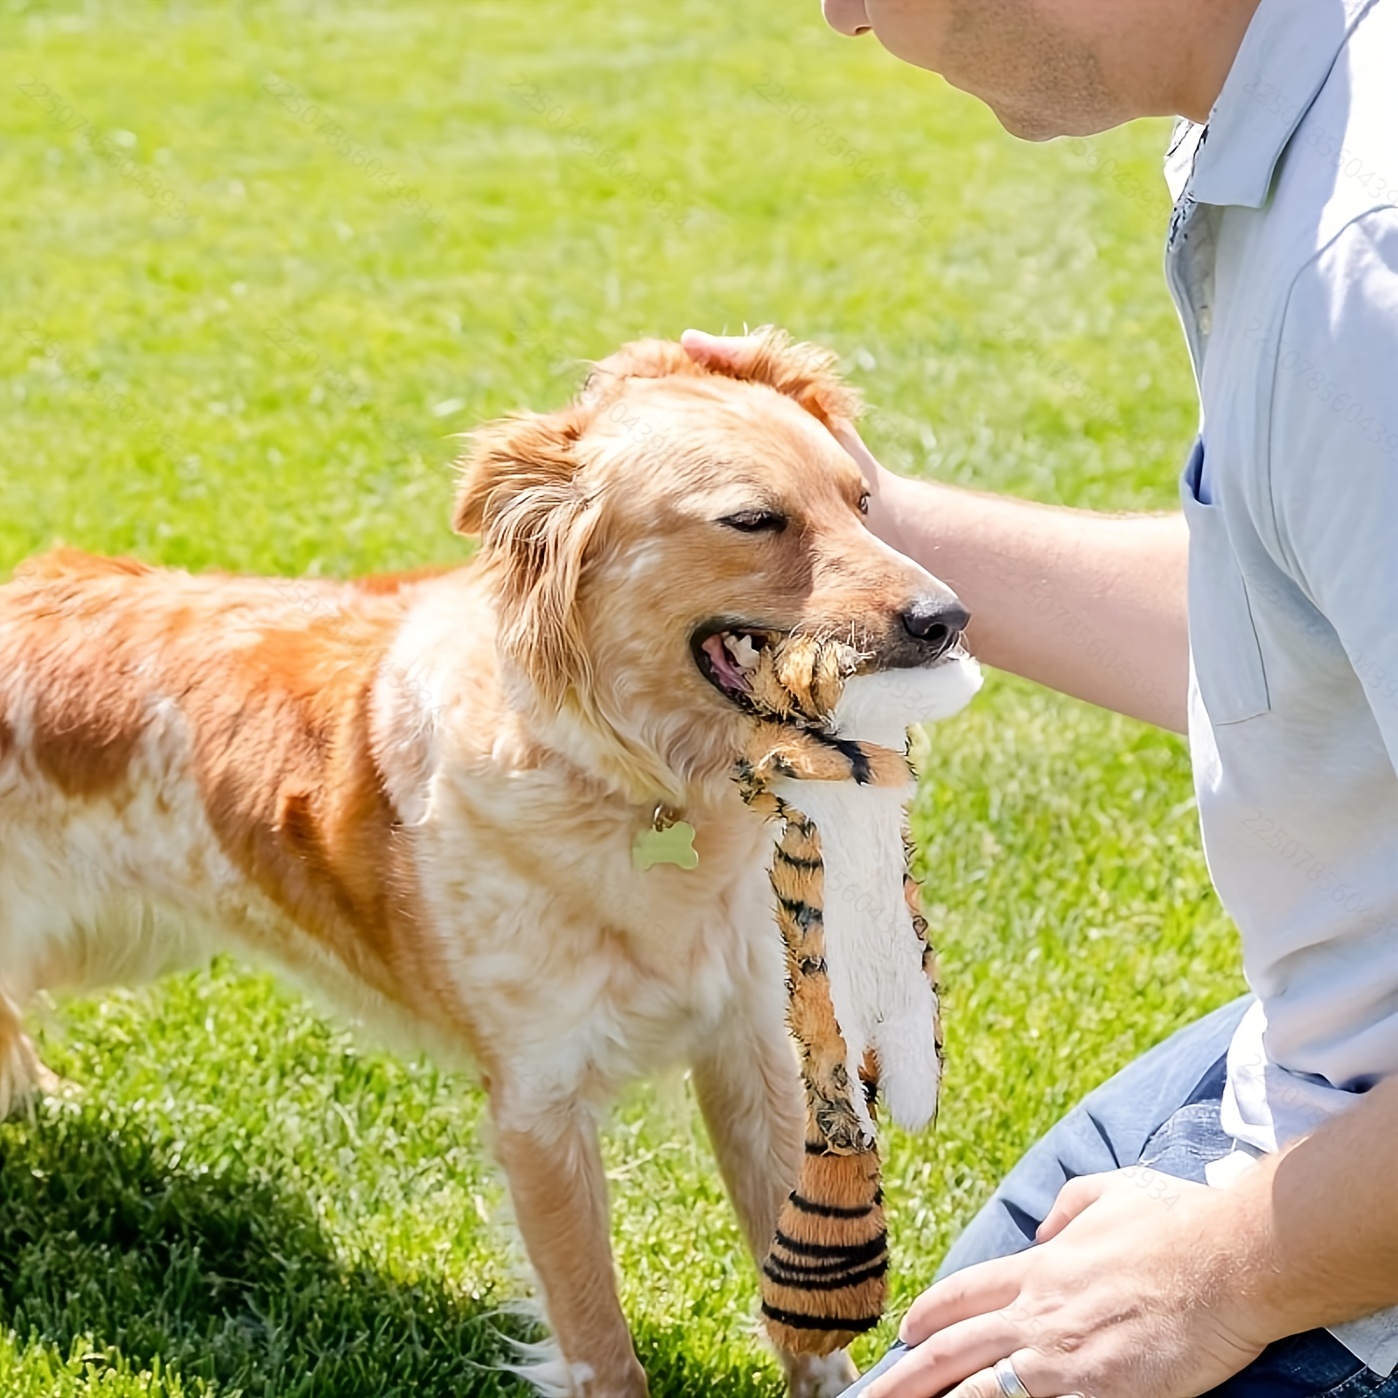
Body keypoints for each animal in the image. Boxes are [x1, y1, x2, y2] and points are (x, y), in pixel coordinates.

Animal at [0, 335, 978, 1398]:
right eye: (754, 519)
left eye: (864, 501)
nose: (950, 617)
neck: (633, 783)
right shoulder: (538, 1106)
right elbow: (600, 1344)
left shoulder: (749, 1049)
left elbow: (803, 1315)